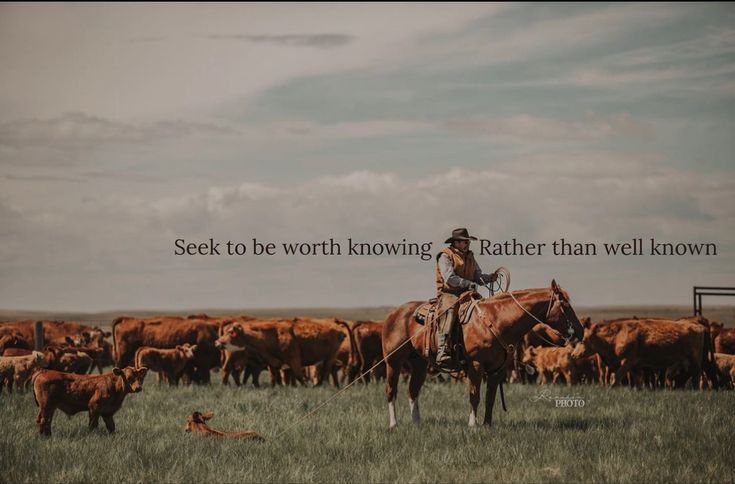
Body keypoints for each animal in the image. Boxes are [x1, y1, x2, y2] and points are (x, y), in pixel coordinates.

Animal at [382, 280, 584, 428]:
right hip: (393, 362)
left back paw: (417, 423)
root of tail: (394, 313)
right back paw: (394, 424)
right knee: (391, 390)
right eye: (565, 305)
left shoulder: (497, 370)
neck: (496, 321)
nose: (580, 332)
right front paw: (473, 425)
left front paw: (487, 425)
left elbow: (490, 398)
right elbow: (475, 395)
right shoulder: (476, 366)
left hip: (419, 364)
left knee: (412, 391)